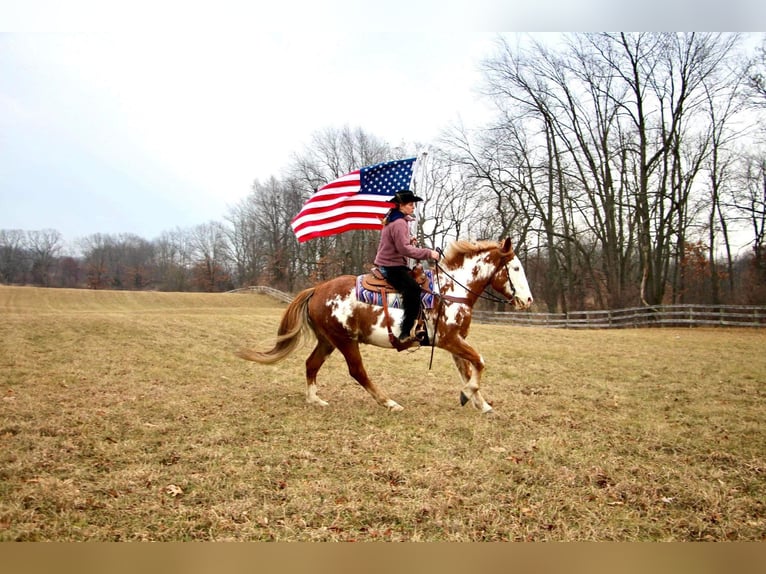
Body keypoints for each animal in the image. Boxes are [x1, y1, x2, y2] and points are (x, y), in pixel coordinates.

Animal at [238, 237, 536, 414]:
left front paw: (479, 403)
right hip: (345, 341)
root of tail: (317, 289)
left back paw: (315, 399)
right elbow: (480, 362)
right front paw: (468, 396)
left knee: (311, 364)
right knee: (358, 372)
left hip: (328, 340)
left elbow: (468, 369)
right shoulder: (449, 339)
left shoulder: (455, 343)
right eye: (516, 268)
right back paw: (389, 402)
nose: (528, 300)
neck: (449, 291)